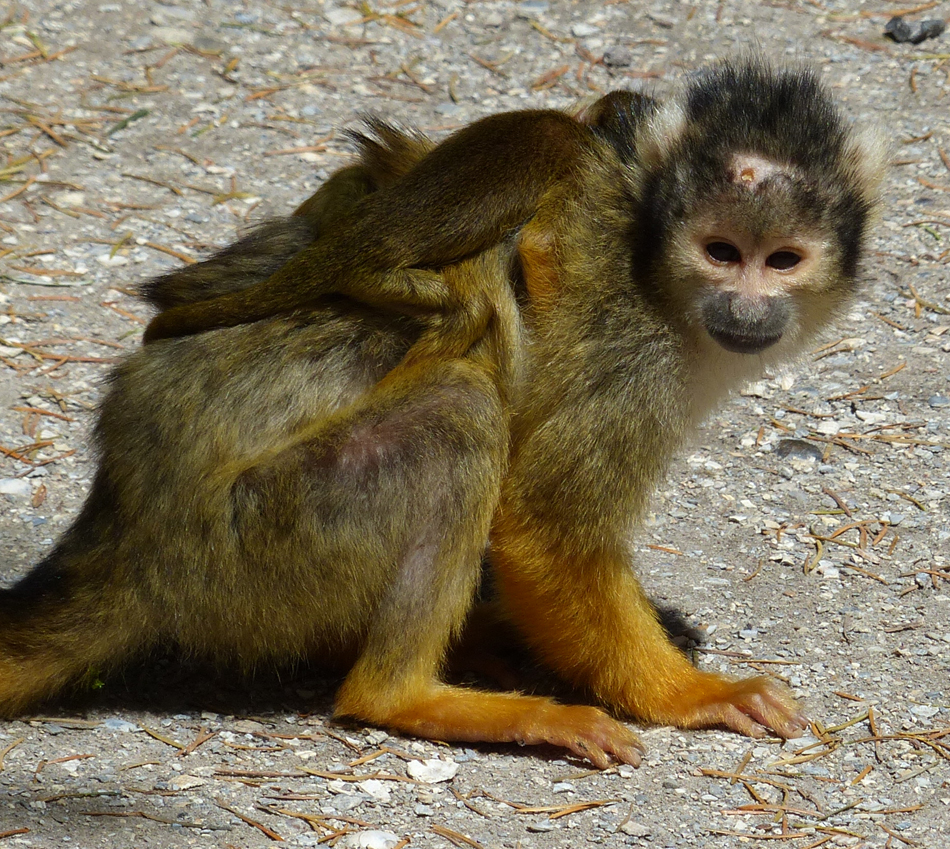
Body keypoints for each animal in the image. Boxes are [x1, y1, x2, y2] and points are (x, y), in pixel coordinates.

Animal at [1, 63, 892, 764]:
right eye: (720, 252)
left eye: (782, 260)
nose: (747, 306)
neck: (655, 263)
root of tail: (123, 534)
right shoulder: (631, 343)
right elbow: (544, 524)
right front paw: (685, 692)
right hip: (247, 541)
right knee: (458, 413)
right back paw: (409, 694)